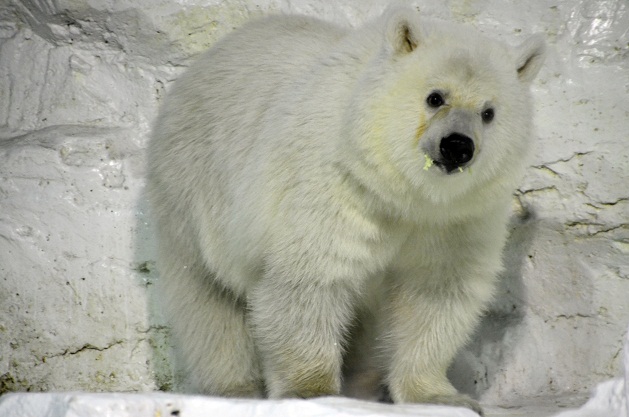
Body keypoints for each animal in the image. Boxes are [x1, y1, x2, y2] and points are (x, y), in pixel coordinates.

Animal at [147, 5, 544, 412]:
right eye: (435, 97)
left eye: (489, 112)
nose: (457, 146)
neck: (402, 193)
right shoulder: (334, 186)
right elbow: (311, 278)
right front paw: (312, 391)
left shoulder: (454, 219)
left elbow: (436, 292)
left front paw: (441, 396)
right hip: (194, 188)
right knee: (209, 297)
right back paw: (234, 387)